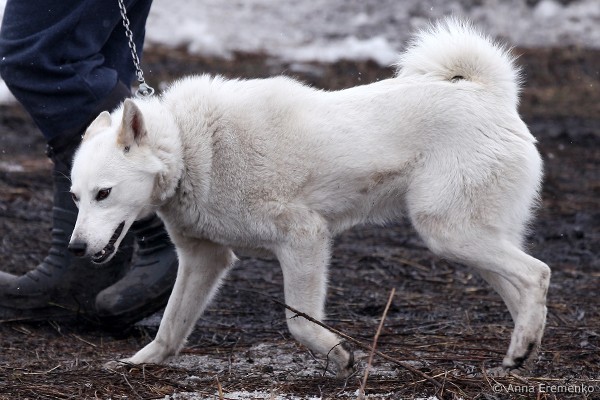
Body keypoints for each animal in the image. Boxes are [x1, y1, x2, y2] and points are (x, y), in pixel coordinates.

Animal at [69, 19, 550, 376]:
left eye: (104, 193)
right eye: (76, 197)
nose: (74, 247)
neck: (191, 148)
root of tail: (489, 94)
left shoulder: (304, 238)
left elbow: (298, 322)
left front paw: (339, 355)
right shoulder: (204, 259)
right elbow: (170, 327)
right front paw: (139, 363)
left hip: (447, 232)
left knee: (537, 274)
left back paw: (522, 348)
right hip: (471, 241)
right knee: (524, 289)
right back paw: (522, 353)